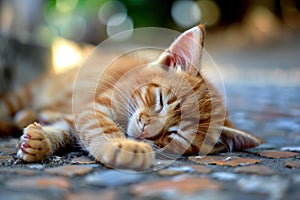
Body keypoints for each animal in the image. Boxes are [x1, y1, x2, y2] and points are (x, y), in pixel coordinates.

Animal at [0, 24, 262, 170]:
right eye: (160, 100)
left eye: (175, 134)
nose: (147, 131)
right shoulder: (93, 106)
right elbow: (97, 126)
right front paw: (123, 146)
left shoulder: (77, 114)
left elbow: (67, 129)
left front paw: (41, 142)